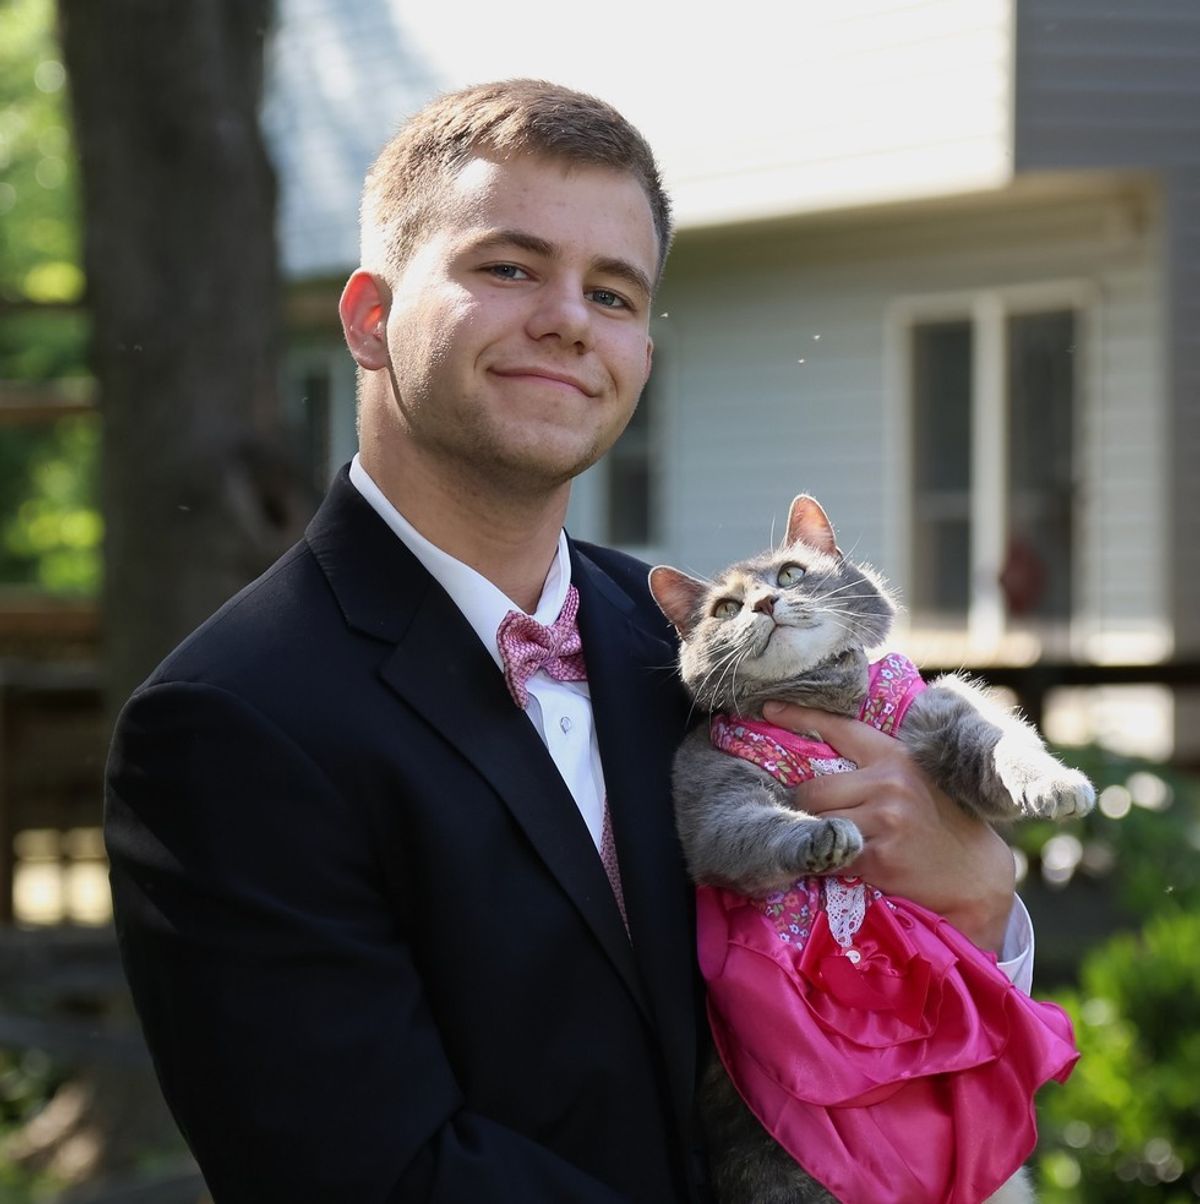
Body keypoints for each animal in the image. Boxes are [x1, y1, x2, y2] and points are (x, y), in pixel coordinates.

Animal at [645, 491, 1097, 1204]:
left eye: (791, 574)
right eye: (725, 609)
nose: (765, 603)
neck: (825, 708)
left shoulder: (941, 711)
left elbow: (1003, 743)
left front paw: (1056, 784)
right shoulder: (711, 802)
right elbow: (756, 827)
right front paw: (824, 834)